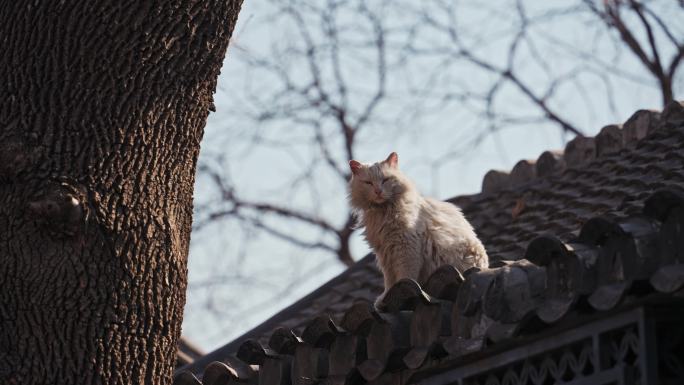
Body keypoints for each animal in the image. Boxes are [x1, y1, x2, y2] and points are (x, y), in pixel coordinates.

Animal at [350, 152, 488, 308]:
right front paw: (384, 298)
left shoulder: (406, 247)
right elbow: (389, 281)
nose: (378, 191)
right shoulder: (385, 254)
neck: (383, 212)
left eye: (385, 180)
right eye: (368, 183)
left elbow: (405, 276)